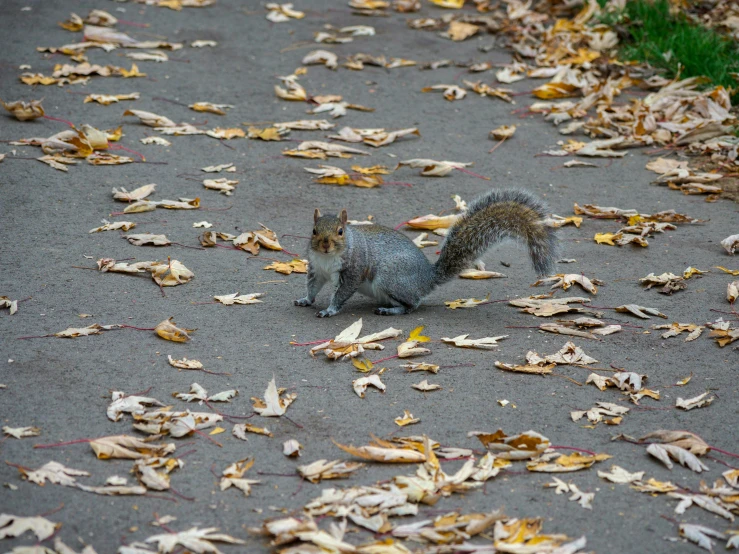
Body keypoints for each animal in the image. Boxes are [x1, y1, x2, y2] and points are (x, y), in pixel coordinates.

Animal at [292, 189, 556, 314]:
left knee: (413, 304)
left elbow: (342, 292)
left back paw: (391, 310)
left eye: (340, 231)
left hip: (390, 278)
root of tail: (427, 278)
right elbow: (313, 286)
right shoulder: (316, 268)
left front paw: (330, 310)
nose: (325, 244)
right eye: (314, 231)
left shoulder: (353, 268)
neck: (327, 258)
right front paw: (306, 300)